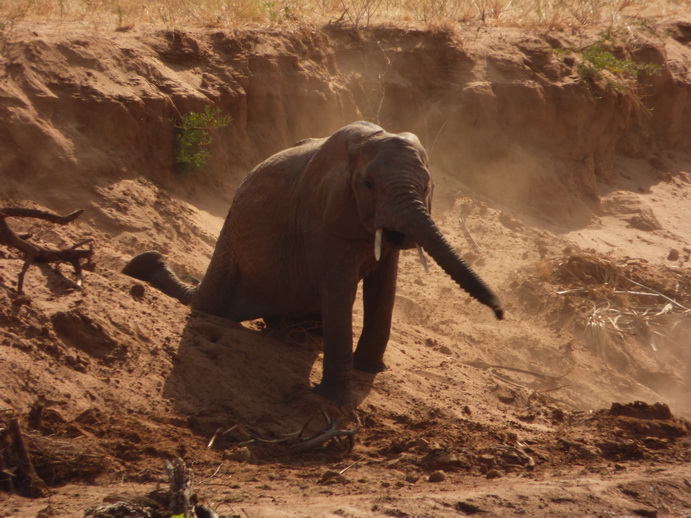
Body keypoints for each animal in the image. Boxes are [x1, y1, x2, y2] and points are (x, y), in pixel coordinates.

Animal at [124, 121, 502, 406]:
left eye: (427, 187)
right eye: (368, 184)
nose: (499, 311)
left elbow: (384, 287)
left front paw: (369, 370)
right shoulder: (318, 217)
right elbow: (339, 289)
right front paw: (333, 400)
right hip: (229, 250)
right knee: (211, 305)